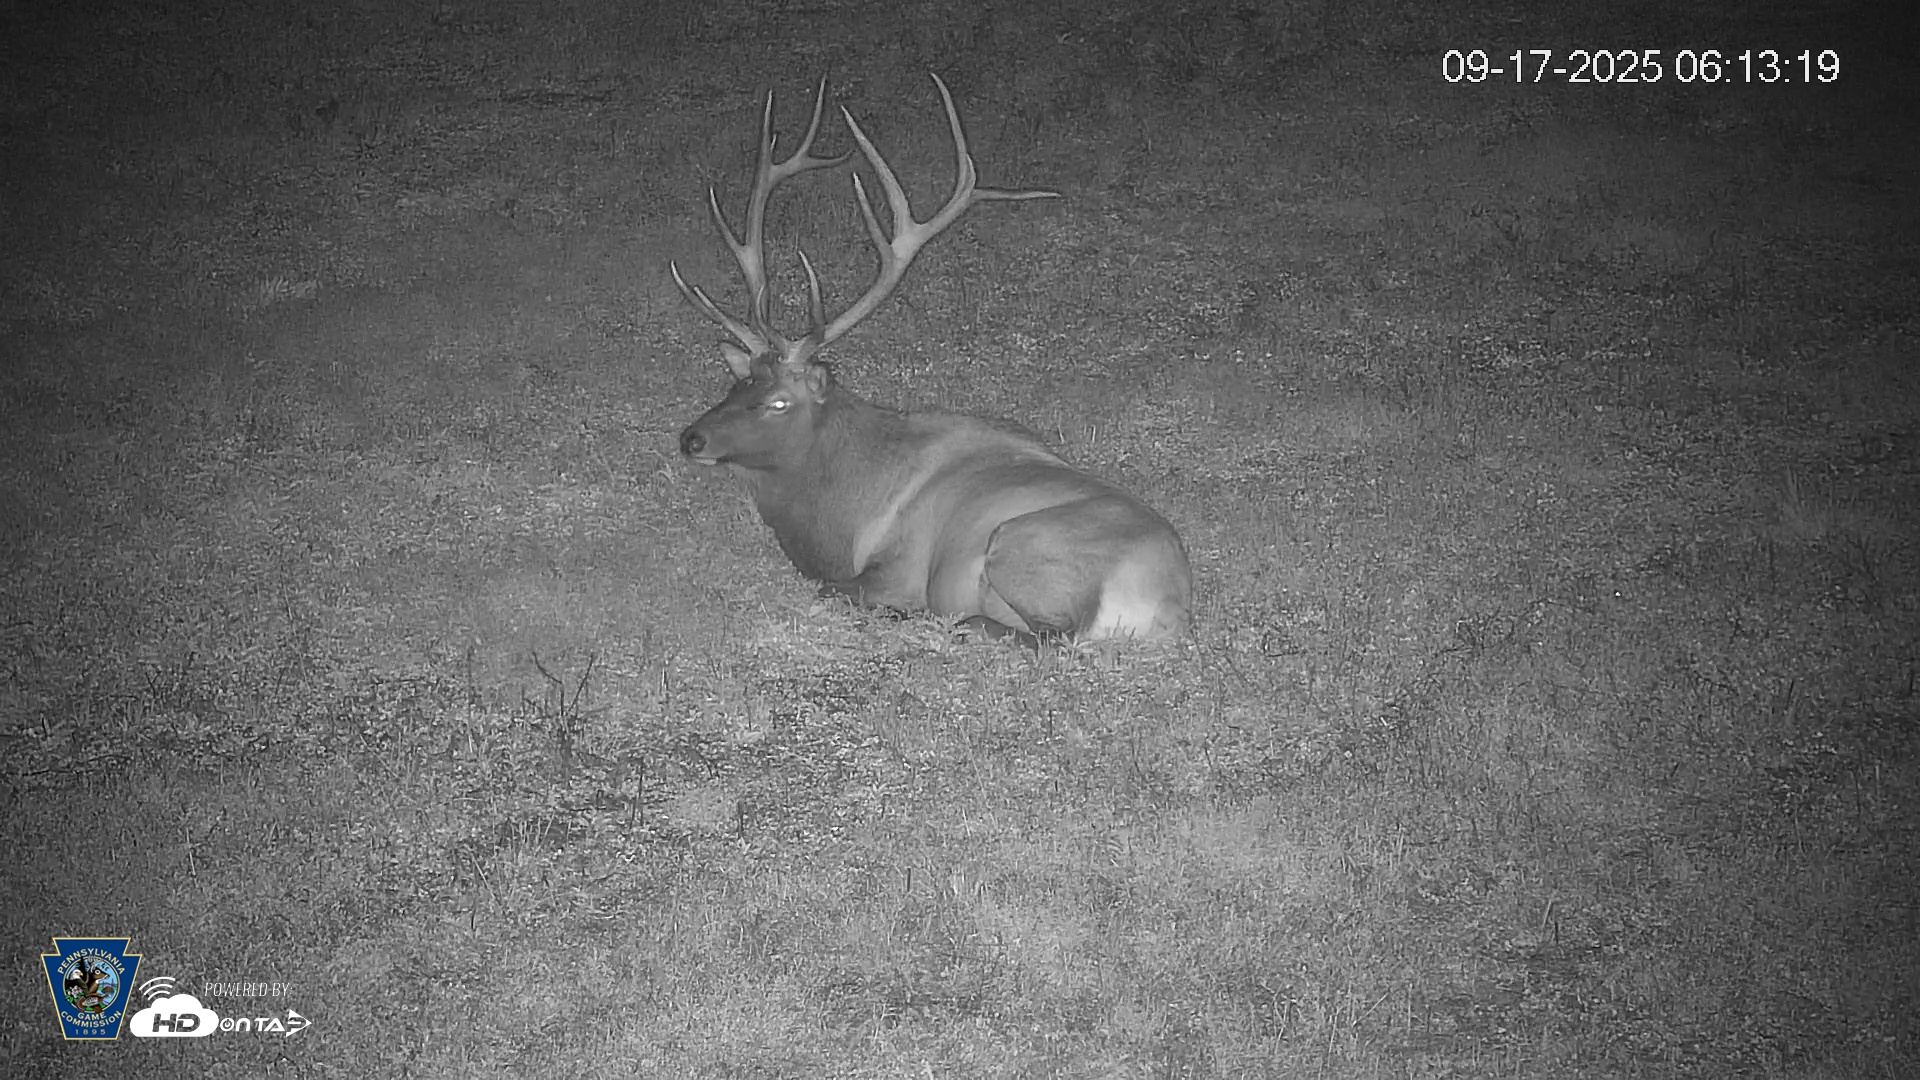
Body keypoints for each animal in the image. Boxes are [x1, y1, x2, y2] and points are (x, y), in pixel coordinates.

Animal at [670, 75, 1192, 642]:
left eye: (779, 403)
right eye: (737, 384)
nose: (692, 437)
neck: (838, 516)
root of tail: (1167, 609)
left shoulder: (899, 566)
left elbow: (834, 590)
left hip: (1019, 544)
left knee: (1046, 635)